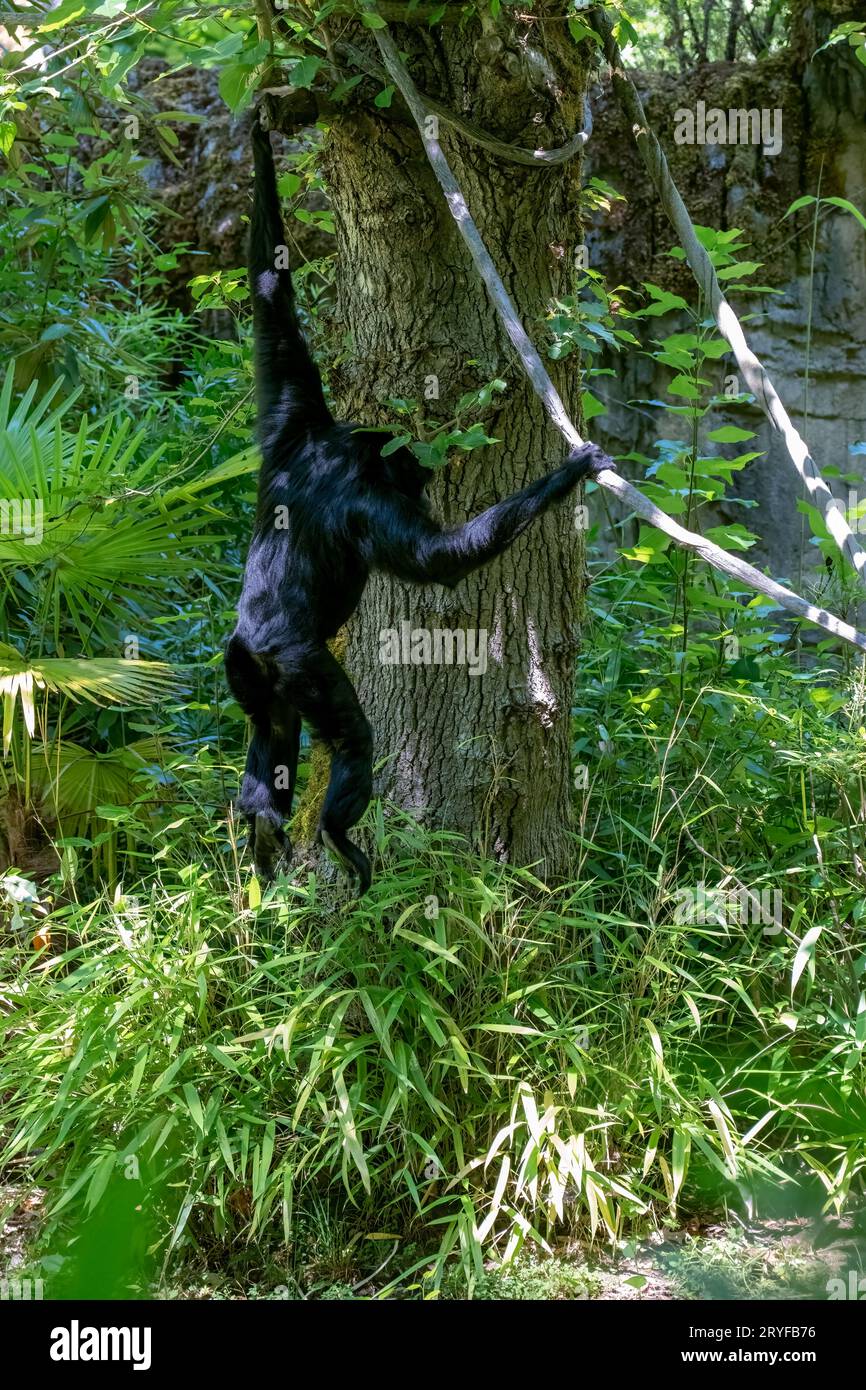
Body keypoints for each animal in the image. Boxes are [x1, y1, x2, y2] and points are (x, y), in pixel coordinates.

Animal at [226, 125, 614, 895]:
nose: (421, 477)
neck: (340, 452)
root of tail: (252, 643)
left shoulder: (294, 420)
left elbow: (272, 302)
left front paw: (258, 135)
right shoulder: (368, 501)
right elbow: (438, 561)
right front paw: (569, 474)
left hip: (252, 678)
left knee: (272, 739)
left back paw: (263, 826)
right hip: (301, 665)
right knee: (350, 735)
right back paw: (336, 832)